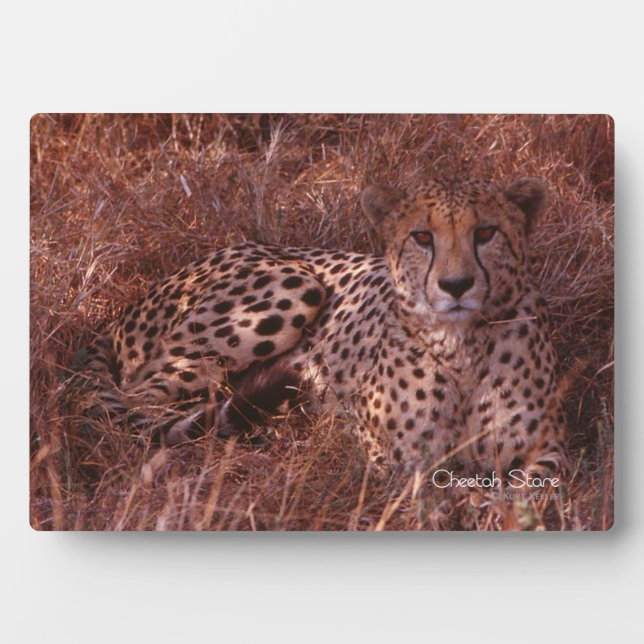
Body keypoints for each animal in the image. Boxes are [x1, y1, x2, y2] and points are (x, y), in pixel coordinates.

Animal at [77, 176, 567, 479]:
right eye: (422, 237)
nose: (456, 285)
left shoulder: (550, 451)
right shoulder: (392, 456)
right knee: (137, 403)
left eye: (486, 233)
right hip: (294, 287)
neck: (462, 345)